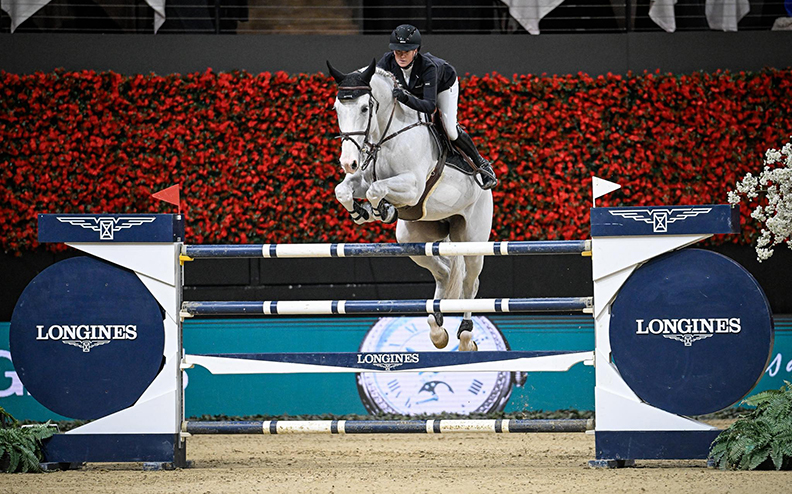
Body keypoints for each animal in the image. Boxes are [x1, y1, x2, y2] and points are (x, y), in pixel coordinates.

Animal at [326, 59, 494, 352]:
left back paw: (465, 336)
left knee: (469, 283)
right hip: (413, 237)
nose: (348, 162)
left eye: (365, 107)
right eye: (337, 108)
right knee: (443, 273)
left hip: (472, 239)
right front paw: (362, 212)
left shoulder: (413, 187)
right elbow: (344, 190)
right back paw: (437, 329)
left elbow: (377, 190)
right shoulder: (362, 178)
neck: (386, 136)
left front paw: (382, 209)